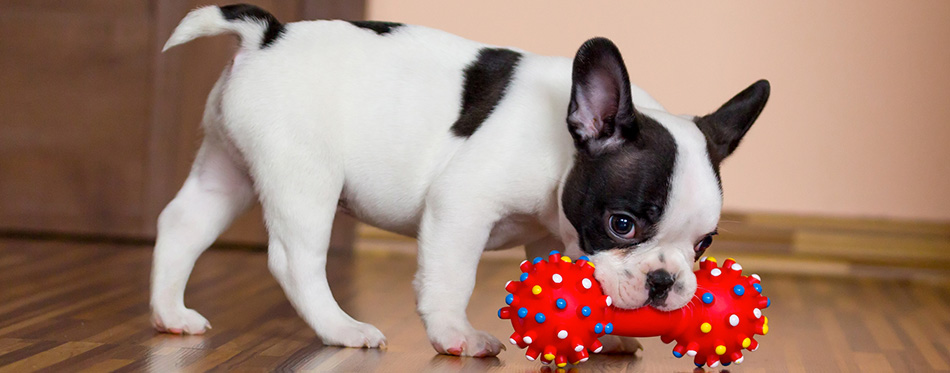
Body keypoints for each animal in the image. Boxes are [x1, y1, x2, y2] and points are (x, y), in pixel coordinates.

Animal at [151, 3, 772, 358]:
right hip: (304, 175)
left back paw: (170, 315)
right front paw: (455, 336)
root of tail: (267, 36)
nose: (665, 281)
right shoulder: (462, 205)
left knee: (182, 223)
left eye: (703, 244)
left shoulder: (552, 232)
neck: (562, 142)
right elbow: (451, 278)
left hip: (227, 166)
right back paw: (342, 329)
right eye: (622, 224)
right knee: (293, 260)